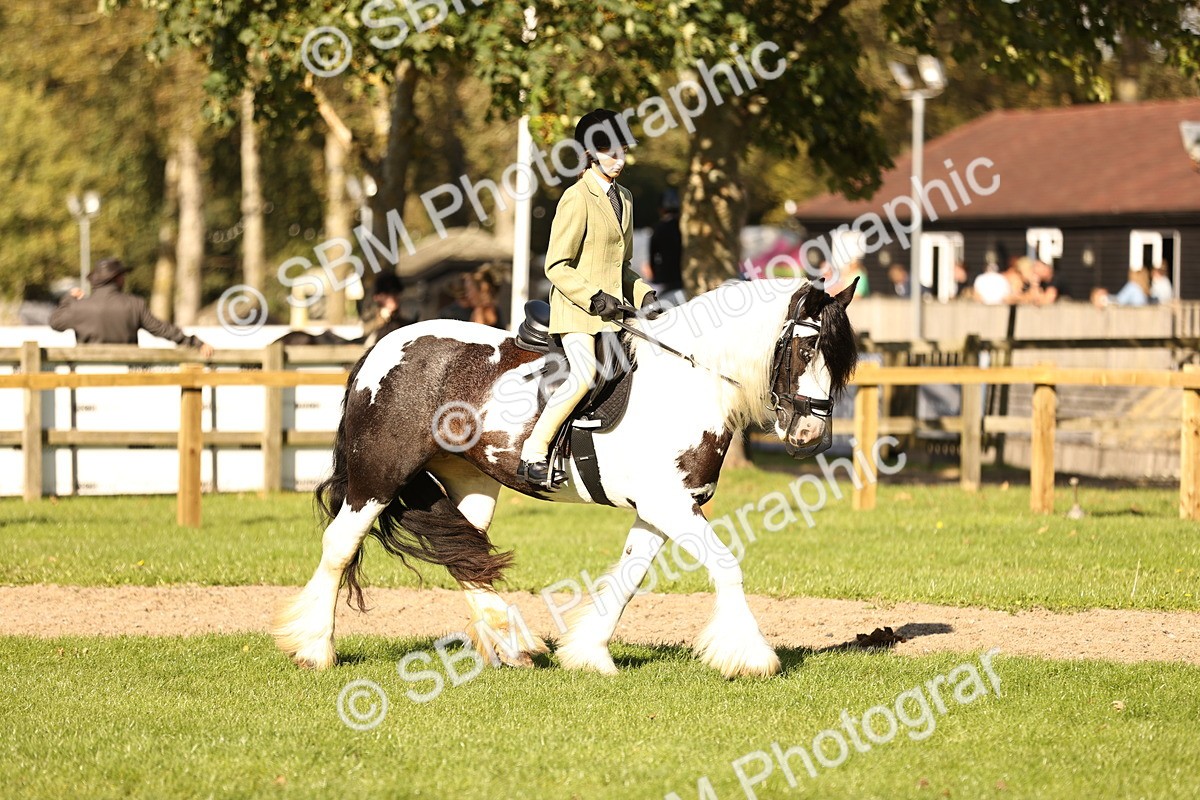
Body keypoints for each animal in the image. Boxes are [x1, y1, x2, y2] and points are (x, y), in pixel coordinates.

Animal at [273, 276, 859, 678]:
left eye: (841, 360)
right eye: (807, 348)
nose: (812, 435)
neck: (688, 382)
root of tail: (381, 348)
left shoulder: (662, 508)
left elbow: (628, 580)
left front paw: (588, 654)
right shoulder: (670, 505)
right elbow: (726, 565)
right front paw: (752, 656)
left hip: (471, 483)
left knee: (464, 556)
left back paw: (514, 645)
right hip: (379, 477)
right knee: (341, 545)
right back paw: (315, 648)